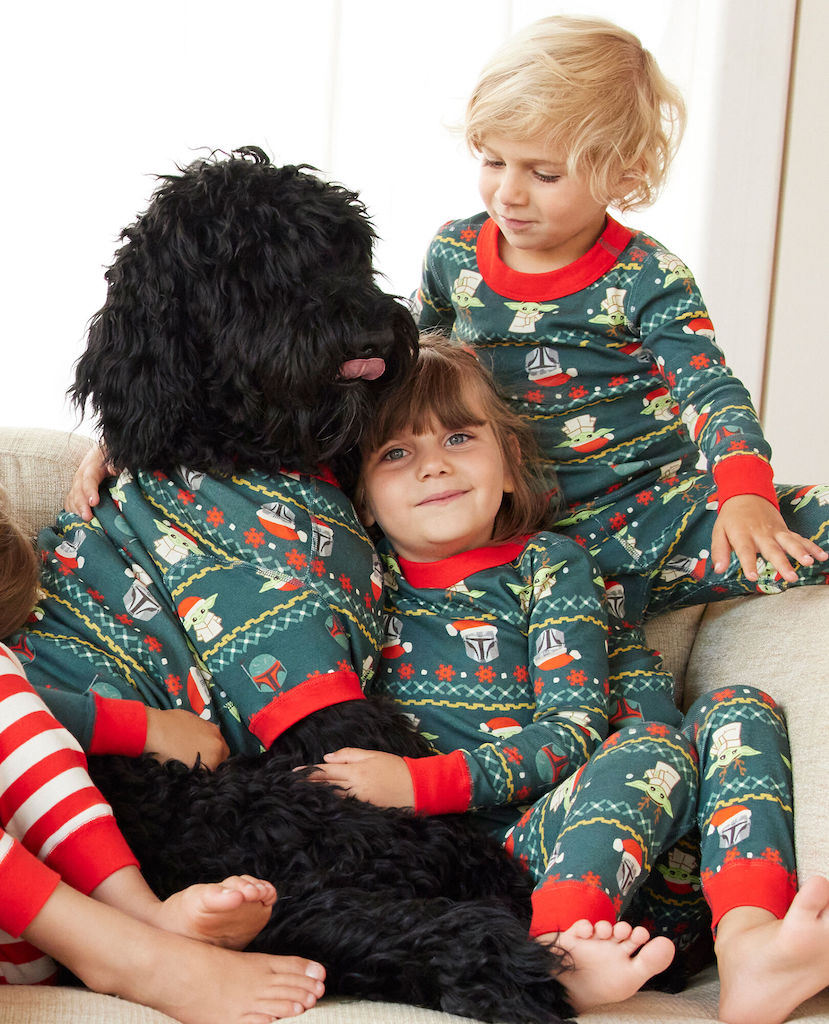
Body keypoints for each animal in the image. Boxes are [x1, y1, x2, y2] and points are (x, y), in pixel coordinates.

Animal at [34, 148, 569, 1024]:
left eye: (342, 246)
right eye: (248, 266)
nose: (368, 327)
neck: (243, 451)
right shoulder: (296, 665)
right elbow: (376, 744)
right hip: (247, 799)